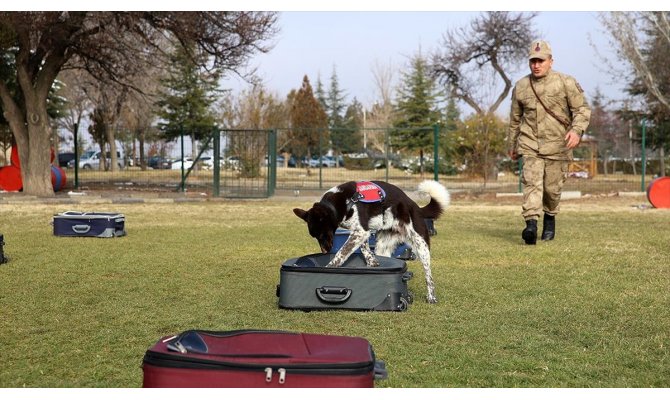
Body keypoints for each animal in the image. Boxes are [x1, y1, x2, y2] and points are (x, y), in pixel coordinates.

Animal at [294, 180, 452, 302]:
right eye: (315, 236)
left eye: (322, 234)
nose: (325, 251)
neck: (344, 203)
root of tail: (416, 206)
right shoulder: (362, 232)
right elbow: (364, 249)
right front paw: (372, 263)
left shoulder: (360, 231)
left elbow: (341, 254)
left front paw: (329, 268)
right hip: (383, 245)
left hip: (421, 246)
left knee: (429, 276)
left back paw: (431, 297)